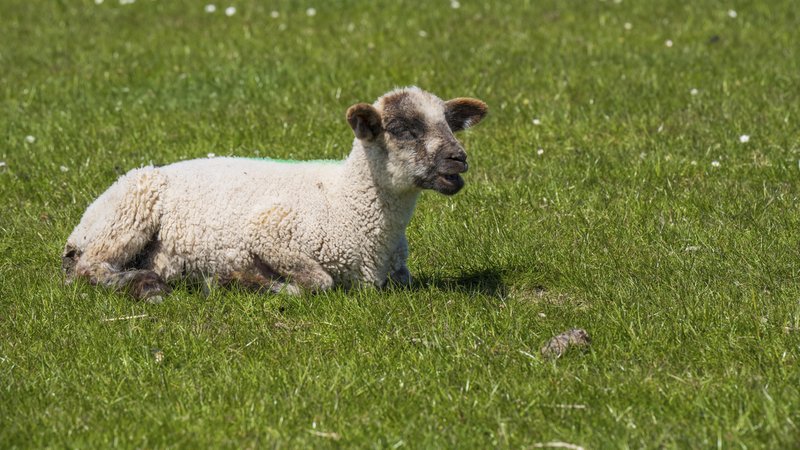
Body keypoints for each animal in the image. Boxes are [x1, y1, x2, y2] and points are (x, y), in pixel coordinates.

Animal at [62, 86, 488, 300]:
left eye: (449, 123)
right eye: (401, 129)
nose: (458, 159)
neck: (346, 203)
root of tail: (82, 225)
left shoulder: (398, 273)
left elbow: (401, 279)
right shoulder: (269, 231)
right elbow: (318, 282)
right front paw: (244, 282)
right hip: (131, 212)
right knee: (90, 269)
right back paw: (146, 286)